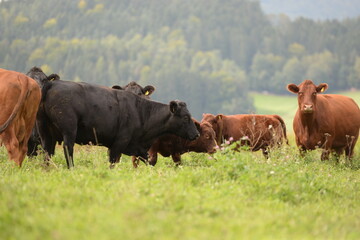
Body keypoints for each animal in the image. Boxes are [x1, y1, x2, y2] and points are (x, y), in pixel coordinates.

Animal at [37, 79, 200, 169]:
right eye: (186, 117)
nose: (197, 134)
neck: (142, 113)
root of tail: (52, 83)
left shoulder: (139, 148)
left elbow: (149, 163)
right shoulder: (120, 142)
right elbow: (113, 163)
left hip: (45, 132)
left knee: (47, 152)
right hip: (69, 129)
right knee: (68, 149)